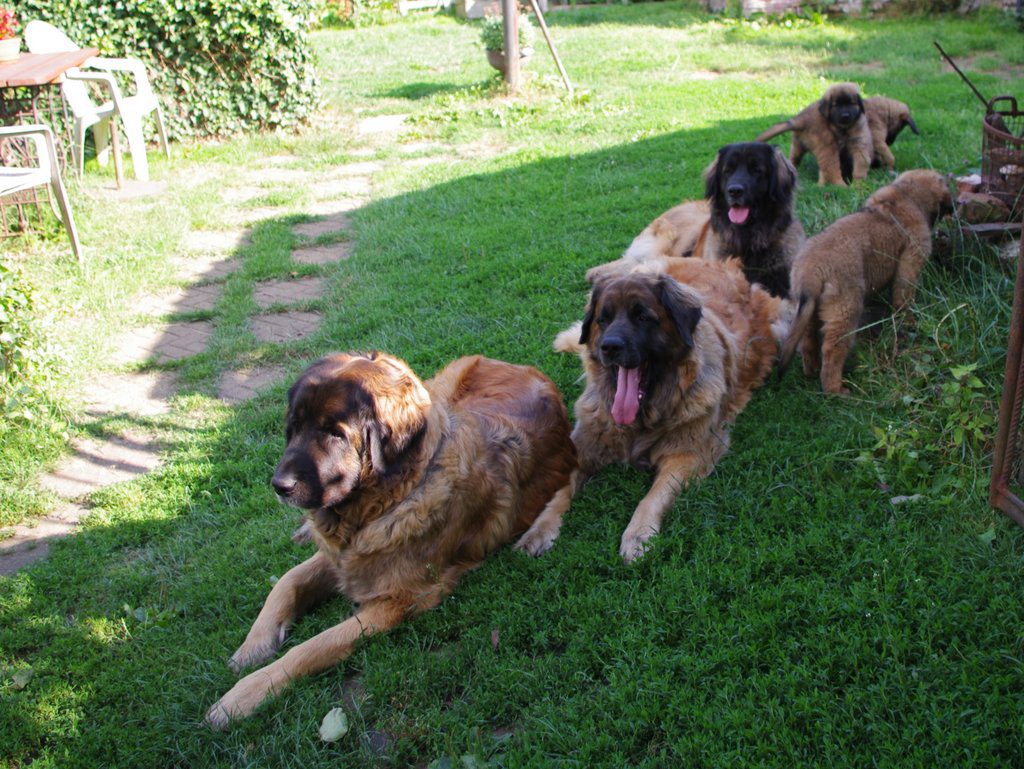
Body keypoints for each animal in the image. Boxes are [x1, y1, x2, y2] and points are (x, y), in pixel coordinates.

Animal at [206, 352, 577, 724]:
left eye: (335, 434)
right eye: (294, 427)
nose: (279, 486)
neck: (389, 500)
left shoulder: (399, 600)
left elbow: (315, 645)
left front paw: (243, 695)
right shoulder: (339, 557)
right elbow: (286, 583)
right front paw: (253, 645)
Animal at [520, 259, 790, 565]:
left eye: (643, 317)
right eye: (604, 319)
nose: (609, 346)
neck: (644, 416)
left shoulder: (687, 454)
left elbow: (653, 496)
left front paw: (638, 535)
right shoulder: (584, 443)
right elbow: (560, 489)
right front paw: (539, 529)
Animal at [778, 171, 954, 393]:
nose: (954, 208)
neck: (905, 195)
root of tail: (810, 271)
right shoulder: (910, 262)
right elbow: (903, 298)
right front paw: (910, 322)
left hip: (807, 310)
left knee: (808, 341)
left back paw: (811, 372)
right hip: (845, 310)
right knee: (832, 349)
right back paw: (836, 390)